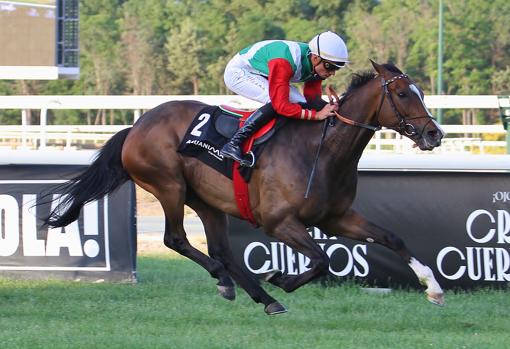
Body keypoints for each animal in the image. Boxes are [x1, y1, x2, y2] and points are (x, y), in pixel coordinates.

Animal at [45, 61, 448, 314]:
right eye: (403, 94)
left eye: (420, 92)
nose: (435, 134)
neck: (322, 150)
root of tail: (137, 126)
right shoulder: (278, 222)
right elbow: (321, 260)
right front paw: (280, 277)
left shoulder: (336, 216)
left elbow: (390, 237)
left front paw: (433, 287)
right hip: (168, 185)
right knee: (177, 240)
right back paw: (235, 282)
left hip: (208, 202)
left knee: (223, 252)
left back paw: (258, 295)